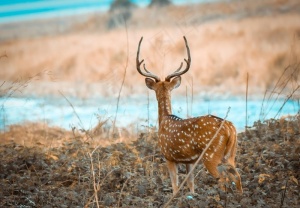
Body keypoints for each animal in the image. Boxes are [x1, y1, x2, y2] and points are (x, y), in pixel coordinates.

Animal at [137, 36, 243, 195]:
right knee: (237, 176)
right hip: (231, 154)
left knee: (223, 179)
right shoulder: (190, 161)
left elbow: (175, 185)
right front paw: (192, 196)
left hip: (211, 155)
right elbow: (191, 184)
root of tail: (230, 128)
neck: (164, 119)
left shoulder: (168, 155)